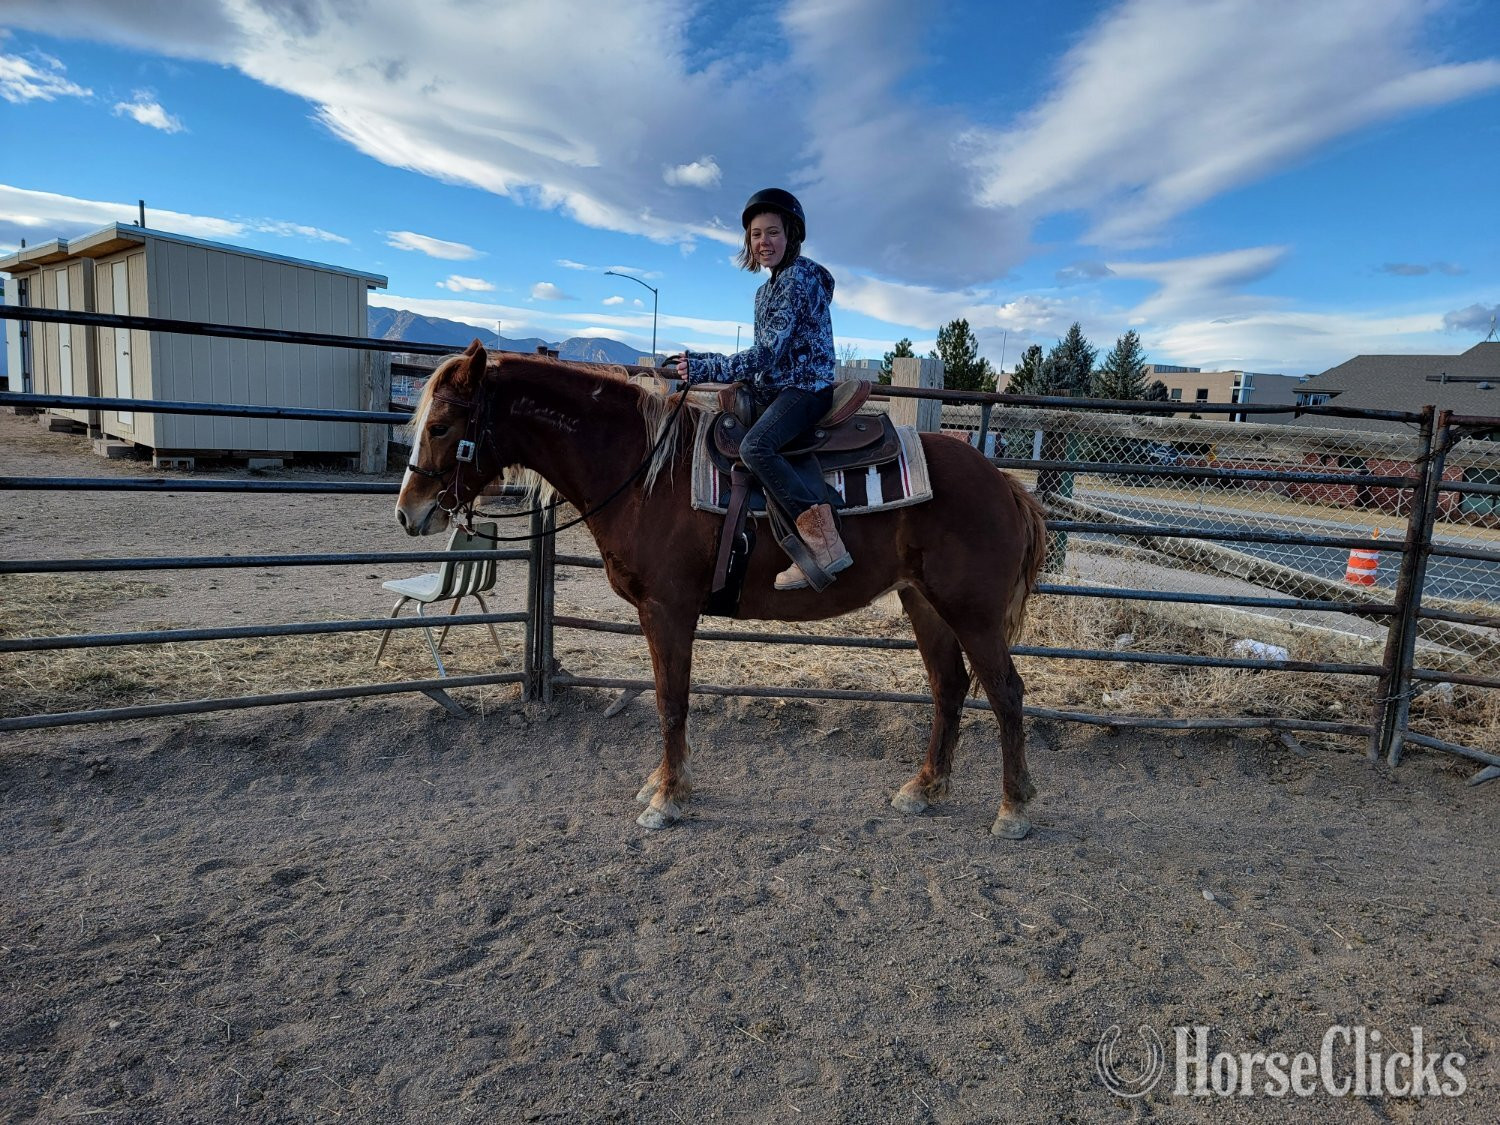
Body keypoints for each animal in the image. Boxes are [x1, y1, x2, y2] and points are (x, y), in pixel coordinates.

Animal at [395, 341, 1048, 838]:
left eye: (442, 425)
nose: (409, 514)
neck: (644, 471)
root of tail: (1005, 483)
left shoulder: (668, 610)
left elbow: (670, 701)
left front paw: (667, 799)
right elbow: (668, 698)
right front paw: (663, 785)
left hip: (973, 612)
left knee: (1006, 693)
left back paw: (1013, 809)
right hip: (925, 604)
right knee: (950, 688)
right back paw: (924, 788)